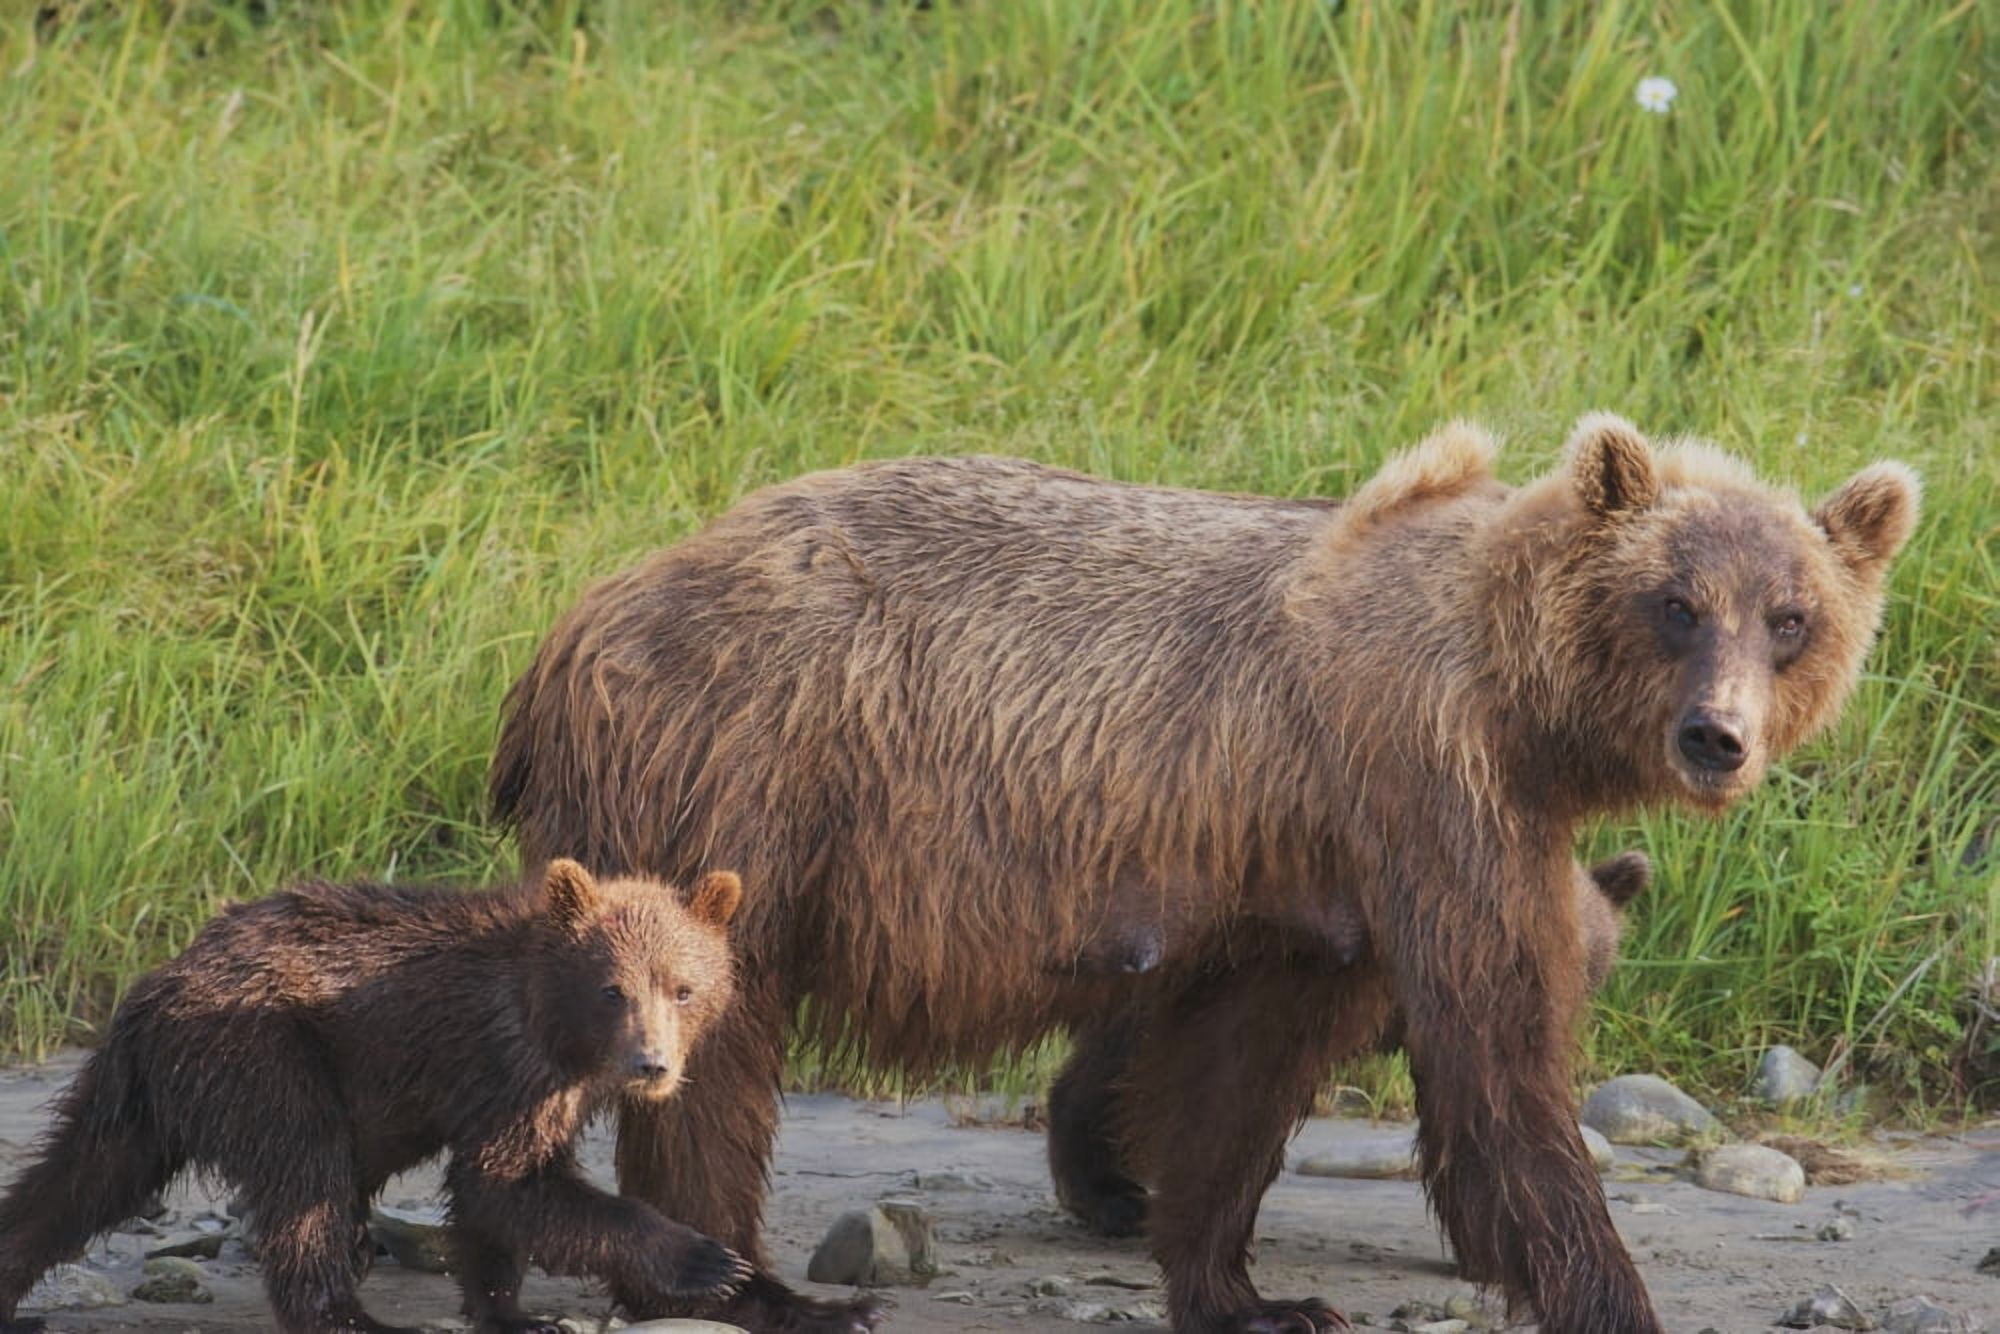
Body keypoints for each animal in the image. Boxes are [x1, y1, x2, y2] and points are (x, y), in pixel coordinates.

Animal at [0, 860, 751, 1334]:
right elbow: (506, 1184)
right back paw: (350, 1317)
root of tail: (157, 985)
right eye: (612, 988)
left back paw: (12, 1283)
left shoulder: (544, 1090)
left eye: (684, 988)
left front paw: (517, 1314)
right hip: (265, 1053)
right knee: (306, 1176)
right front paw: (709, 1260)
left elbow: (494, 1205)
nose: (651, 1064)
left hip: (148, 1090)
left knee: (80, 1180)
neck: (559, 1030)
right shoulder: (508, 1067)